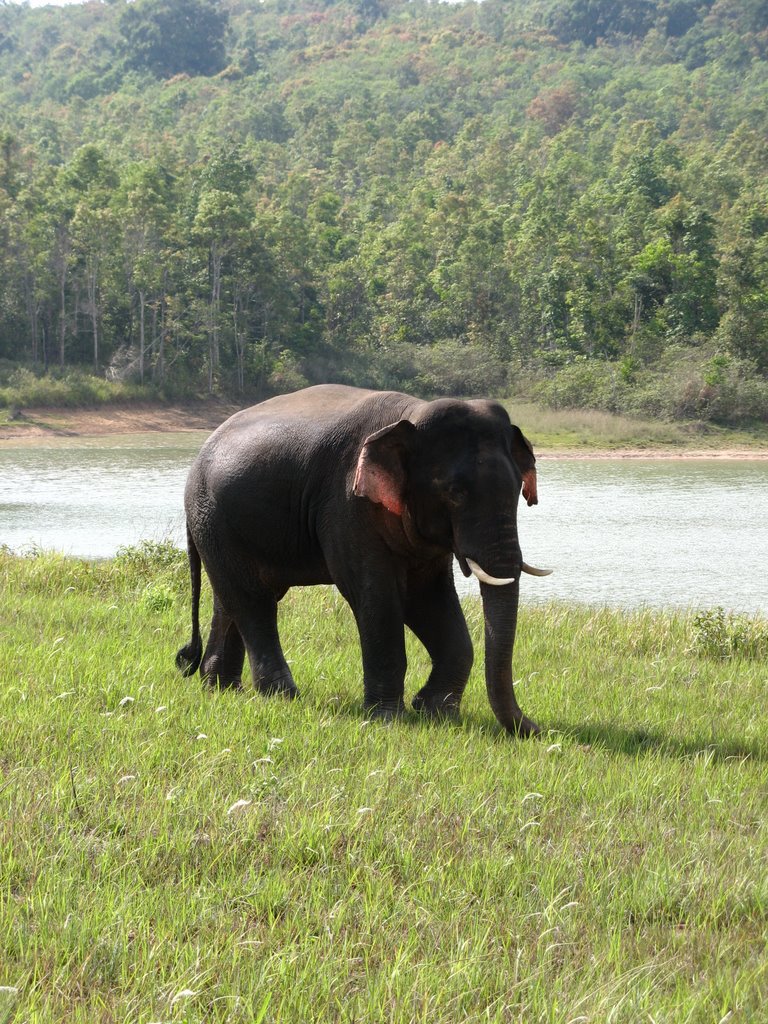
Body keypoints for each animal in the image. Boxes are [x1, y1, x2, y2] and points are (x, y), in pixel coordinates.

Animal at [179, 385, 552, 737]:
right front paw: (389, 719)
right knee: (253, 601)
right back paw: (282, 697)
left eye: (518, 490)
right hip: (214, 517)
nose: (537, 731)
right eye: (454, 493)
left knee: (231, 598)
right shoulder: (347, 505)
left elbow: (428, 598)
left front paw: (436, 713)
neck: (413, 414)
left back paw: (221, 688)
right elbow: (377, 597)